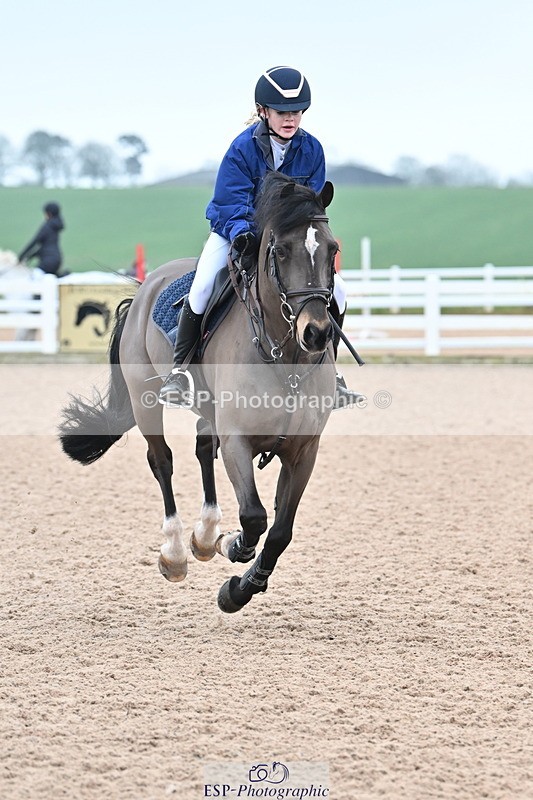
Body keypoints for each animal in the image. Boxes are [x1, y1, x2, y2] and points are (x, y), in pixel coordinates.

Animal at [59, 172, 339, 613]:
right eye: (280, 250)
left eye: (332, 249)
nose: (317, 332)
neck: (286, 358)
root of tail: (147, 287)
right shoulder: (238, 439)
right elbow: (254, 517)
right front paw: (235, 549)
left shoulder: (303, 451)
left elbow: (280, 531)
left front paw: (240, 586)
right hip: (144, 401)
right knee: (162, 461)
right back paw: (175, 552)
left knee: (203, 448)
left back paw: (205, 537)